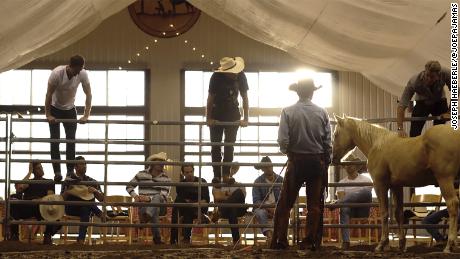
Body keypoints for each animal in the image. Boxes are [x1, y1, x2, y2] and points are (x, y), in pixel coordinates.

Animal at [332, 116, 458, 254]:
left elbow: (384, 213)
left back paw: (449, 245)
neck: (376, 144)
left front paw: (382, 244)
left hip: (445, 180)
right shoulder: (397, 186)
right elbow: (398, 214)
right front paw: (401, 245)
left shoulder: (380, 185)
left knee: (453, 205)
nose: (333, 158)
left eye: (336, 134)